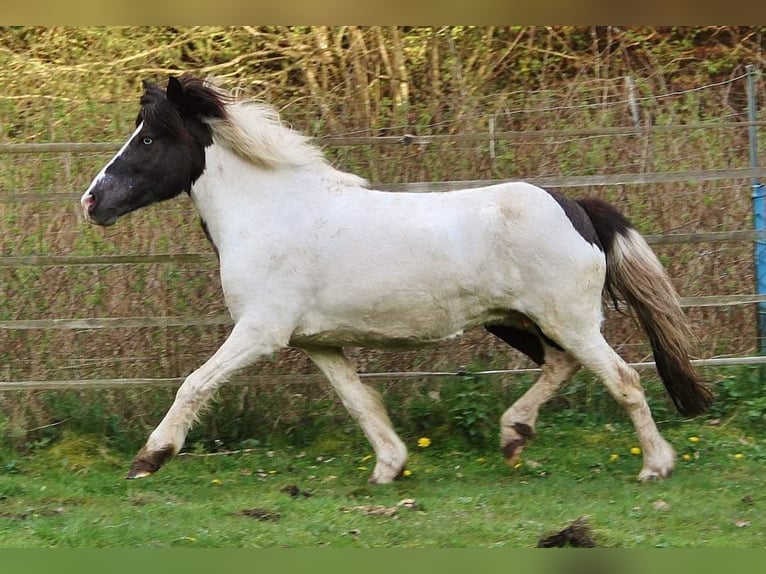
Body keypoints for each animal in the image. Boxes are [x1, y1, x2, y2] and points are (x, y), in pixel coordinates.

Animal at [79, 74, 712, 484]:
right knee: (562, 366)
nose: (91, 202)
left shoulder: (260, 332)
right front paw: (390, 466)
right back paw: (514, 434)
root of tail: (575, 208)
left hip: (568, 319)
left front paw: (149, 458)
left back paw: (655, 466)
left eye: (149, 138)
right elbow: (360, 402)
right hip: (520, 321)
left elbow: (194, 384)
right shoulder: (319, 342)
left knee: (623, 378)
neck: (270, 213)